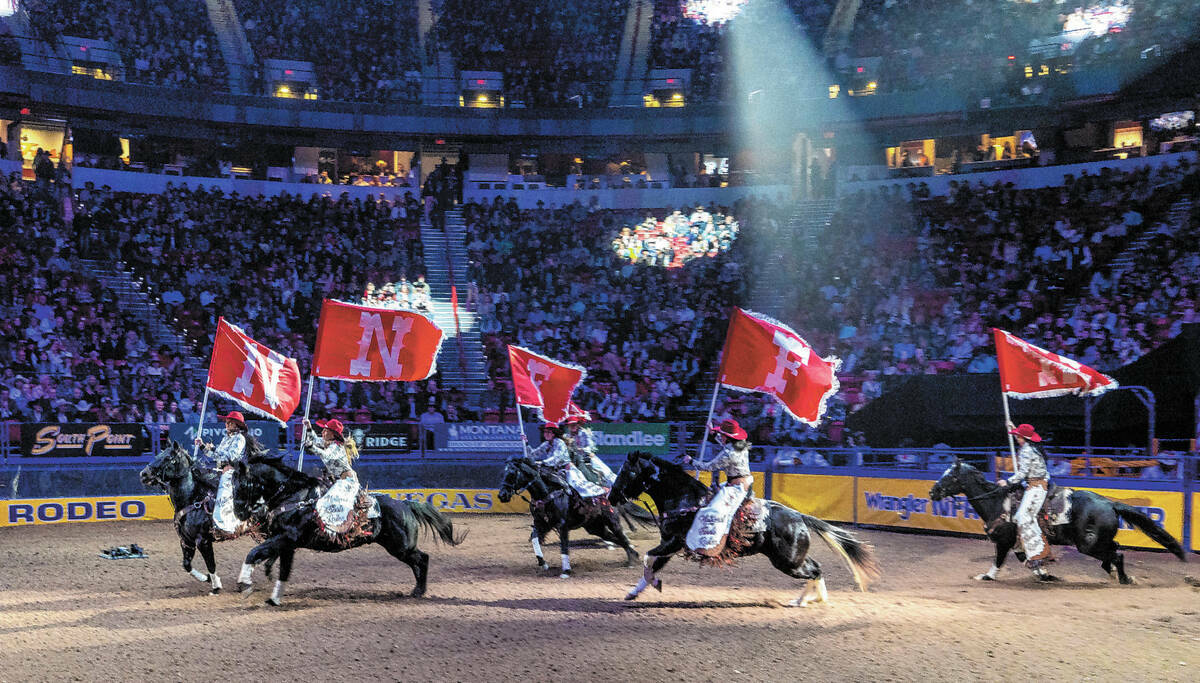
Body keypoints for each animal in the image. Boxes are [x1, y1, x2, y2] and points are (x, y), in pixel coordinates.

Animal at [138, 439, 246, 592]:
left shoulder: (203, 541)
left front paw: (216, 585)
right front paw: (205, 578)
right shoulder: (186, 541)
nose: (144, 474)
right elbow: (186, 564)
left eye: (168, 458)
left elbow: (211, 564)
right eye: (159, 454)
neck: (193, 500)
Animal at [231, 453, 460, 602]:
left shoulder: (287, 538)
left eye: (241, 484)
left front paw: (245, 584)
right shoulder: (287, 543)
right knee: (418, 562)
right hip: (400, 547)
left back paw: (419, 591)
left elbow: (253, 553)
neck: (295, 496)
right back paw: (417, 590)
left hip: (401, 547)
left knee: (422, 559)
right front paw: (272, 593)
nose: (239, 513)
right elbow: (281, 568)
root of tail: (405, 504)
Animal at [496, 456, 643, 578]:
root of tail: (608, 493)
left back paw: (632, 558)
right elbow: (534, 539)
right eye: (502, 473)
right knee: (615, 538)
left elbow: (564, 546)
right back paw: (632, 557)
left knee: (622, 537)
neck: (547, 492)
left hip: (612, 521)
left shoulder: (562, 526)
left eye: (512, 473)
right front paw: (542, 562)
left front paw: (566, 571)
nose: (502, 495)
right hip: (595, 527)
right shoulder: (541, 523)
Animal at [609, 448, 883, 604]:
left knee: (815, 570)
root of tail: (798, 516)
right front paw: (634, 592)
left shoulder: (672, 542)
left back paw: (810, 601)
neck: (685, 499)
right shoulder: (670, 545)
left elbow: (648, 559)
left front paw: (653, 584)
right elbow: (653, 565)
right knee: (816, 567)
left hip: (788, 562)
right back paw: (808, 600)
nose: (611, 497)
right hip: (792, 559)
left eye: (627, 473)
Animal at [926, 458, 1180, 580]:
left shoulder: (1004, 541)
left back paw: (1124, 579)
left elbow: (998, 560)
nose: (932, 492)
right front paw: (1045, 574)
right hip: (1097, 541)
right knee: (1114, 550)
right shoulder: (1018, 543)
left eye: (949, 476)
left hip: (1087, 545)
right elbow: (1028, 560)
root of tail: (1110, 503)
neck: (997, 501)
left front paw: (986, 576)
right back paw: (1114, 573)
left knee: (1116, 554)